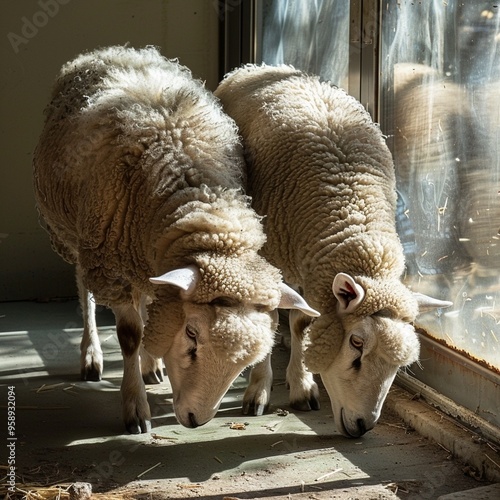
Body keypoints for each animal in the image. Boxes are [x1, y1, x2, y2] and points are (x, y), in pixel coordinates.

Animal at [33, 48, 318, 436]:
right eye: (192, 335)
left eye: (244, 361)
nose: (196, 420)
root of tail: (113, 51)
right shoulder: (111, 265)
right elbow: (129, 334)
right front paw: (135, 409)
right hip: (78, 236)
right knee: (85, 288)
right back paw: (92, 354)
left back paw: (151, 365)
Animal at [216, 63, 454, 438]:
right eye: (356, 344)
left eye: (400, 363)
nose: (363, 426)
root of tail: (261, 67)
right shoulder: (270, 257)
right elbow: (270, 318)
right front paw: (259, 390)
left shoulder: (312, 268)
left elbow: (302, 322)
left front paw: (302, 385)